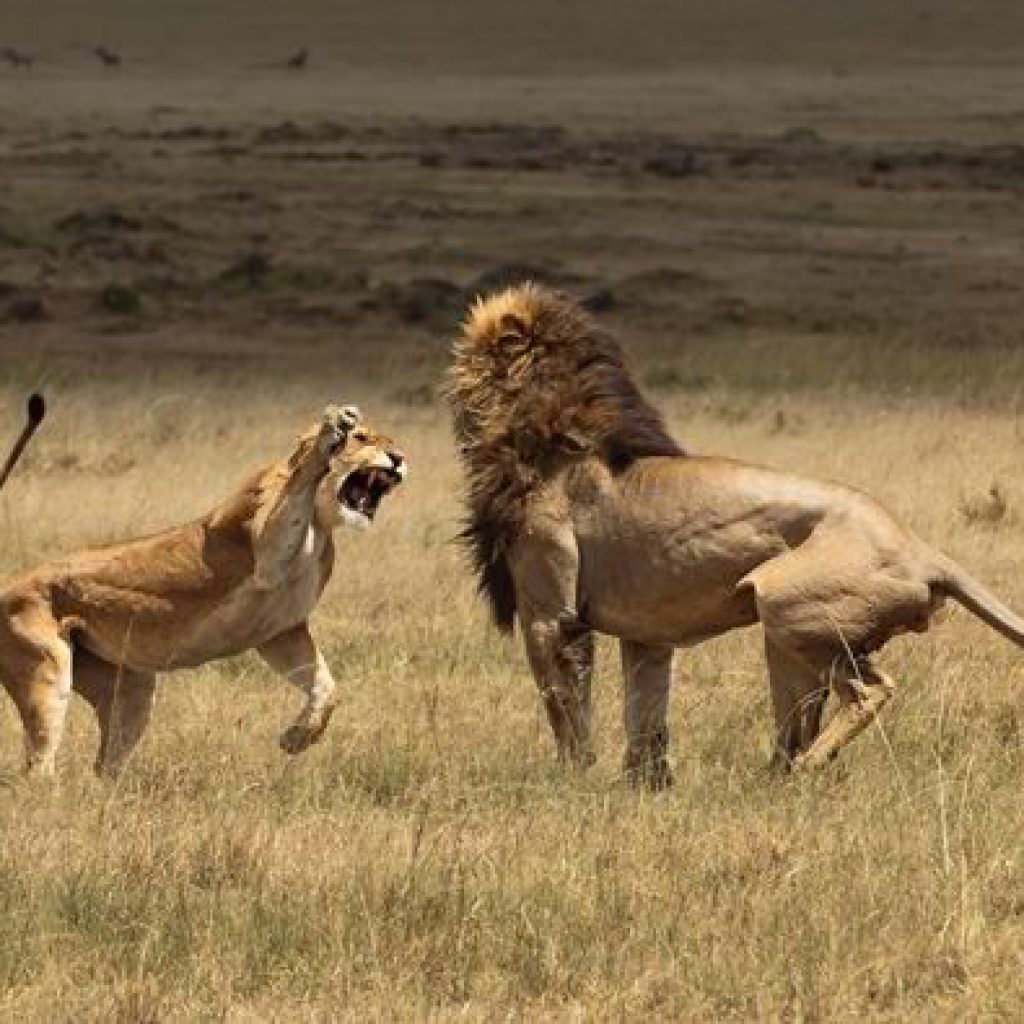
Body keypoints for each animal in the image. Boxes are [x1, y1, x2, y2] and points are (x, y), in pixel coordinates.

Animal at [0, 404, 405, 778]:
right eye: (362, 438)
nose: (400, 458)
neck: (321, 525)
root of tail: (9, 582)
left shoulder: (281, 633)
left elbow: (326, 687)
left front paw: (298, 738)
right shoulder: (266, 553)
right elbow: (300, 480)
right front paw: (332, 428)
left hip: (130, 688)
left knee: (105, 763)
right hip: (46, 671)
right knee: (38, 765)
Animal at [447, 283, 1024, 788]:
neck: (542, 434)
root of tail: (919, 549)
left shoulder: (550, 614)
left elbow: (564, 707)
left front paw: (573, 781)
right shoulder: (646, 632)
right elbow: (645, 713)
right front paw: (646, 787)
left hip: (787, 605)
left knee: (868, 691)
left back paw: (801, 771)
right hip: (793, 637)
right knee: (802, 716)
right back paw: (775, 775)